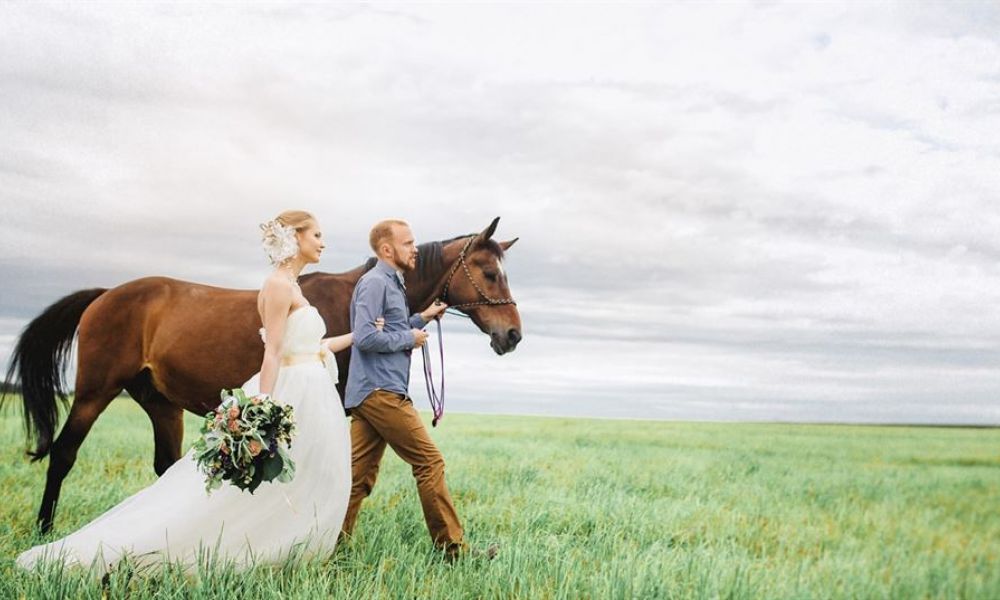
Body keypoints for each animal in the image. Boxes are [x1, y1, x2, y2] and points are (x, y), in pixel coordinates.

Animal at [2, 217, 521, 533]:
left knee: (164, 467)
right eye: (490, 273)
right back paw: (45, 529)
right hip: (95, 392)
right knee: (64, 454)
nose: (513, 335)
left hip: (161, 404)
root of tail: (106, 294)